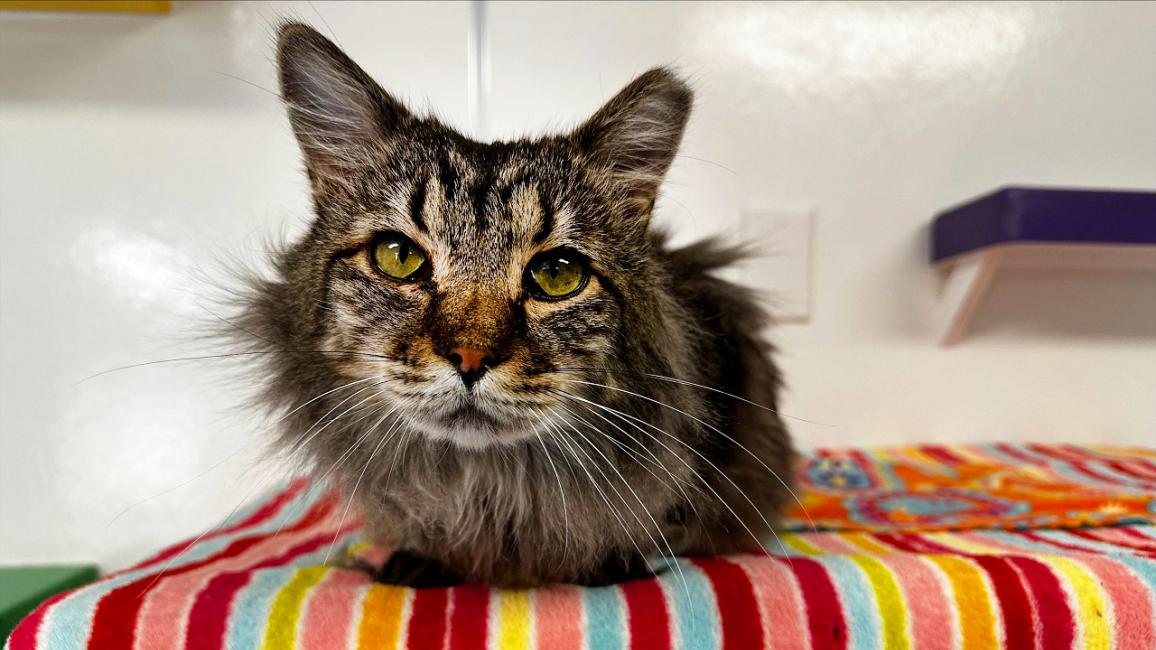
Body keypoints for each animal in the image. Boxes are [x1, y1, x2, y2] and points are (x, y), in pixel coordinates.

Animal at [234, 22, 795, 585]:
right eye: (398, 257)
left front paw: (610, 562)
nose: (470, 358)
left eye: (557, 274)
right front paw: (416, 561)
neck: (488, 488)